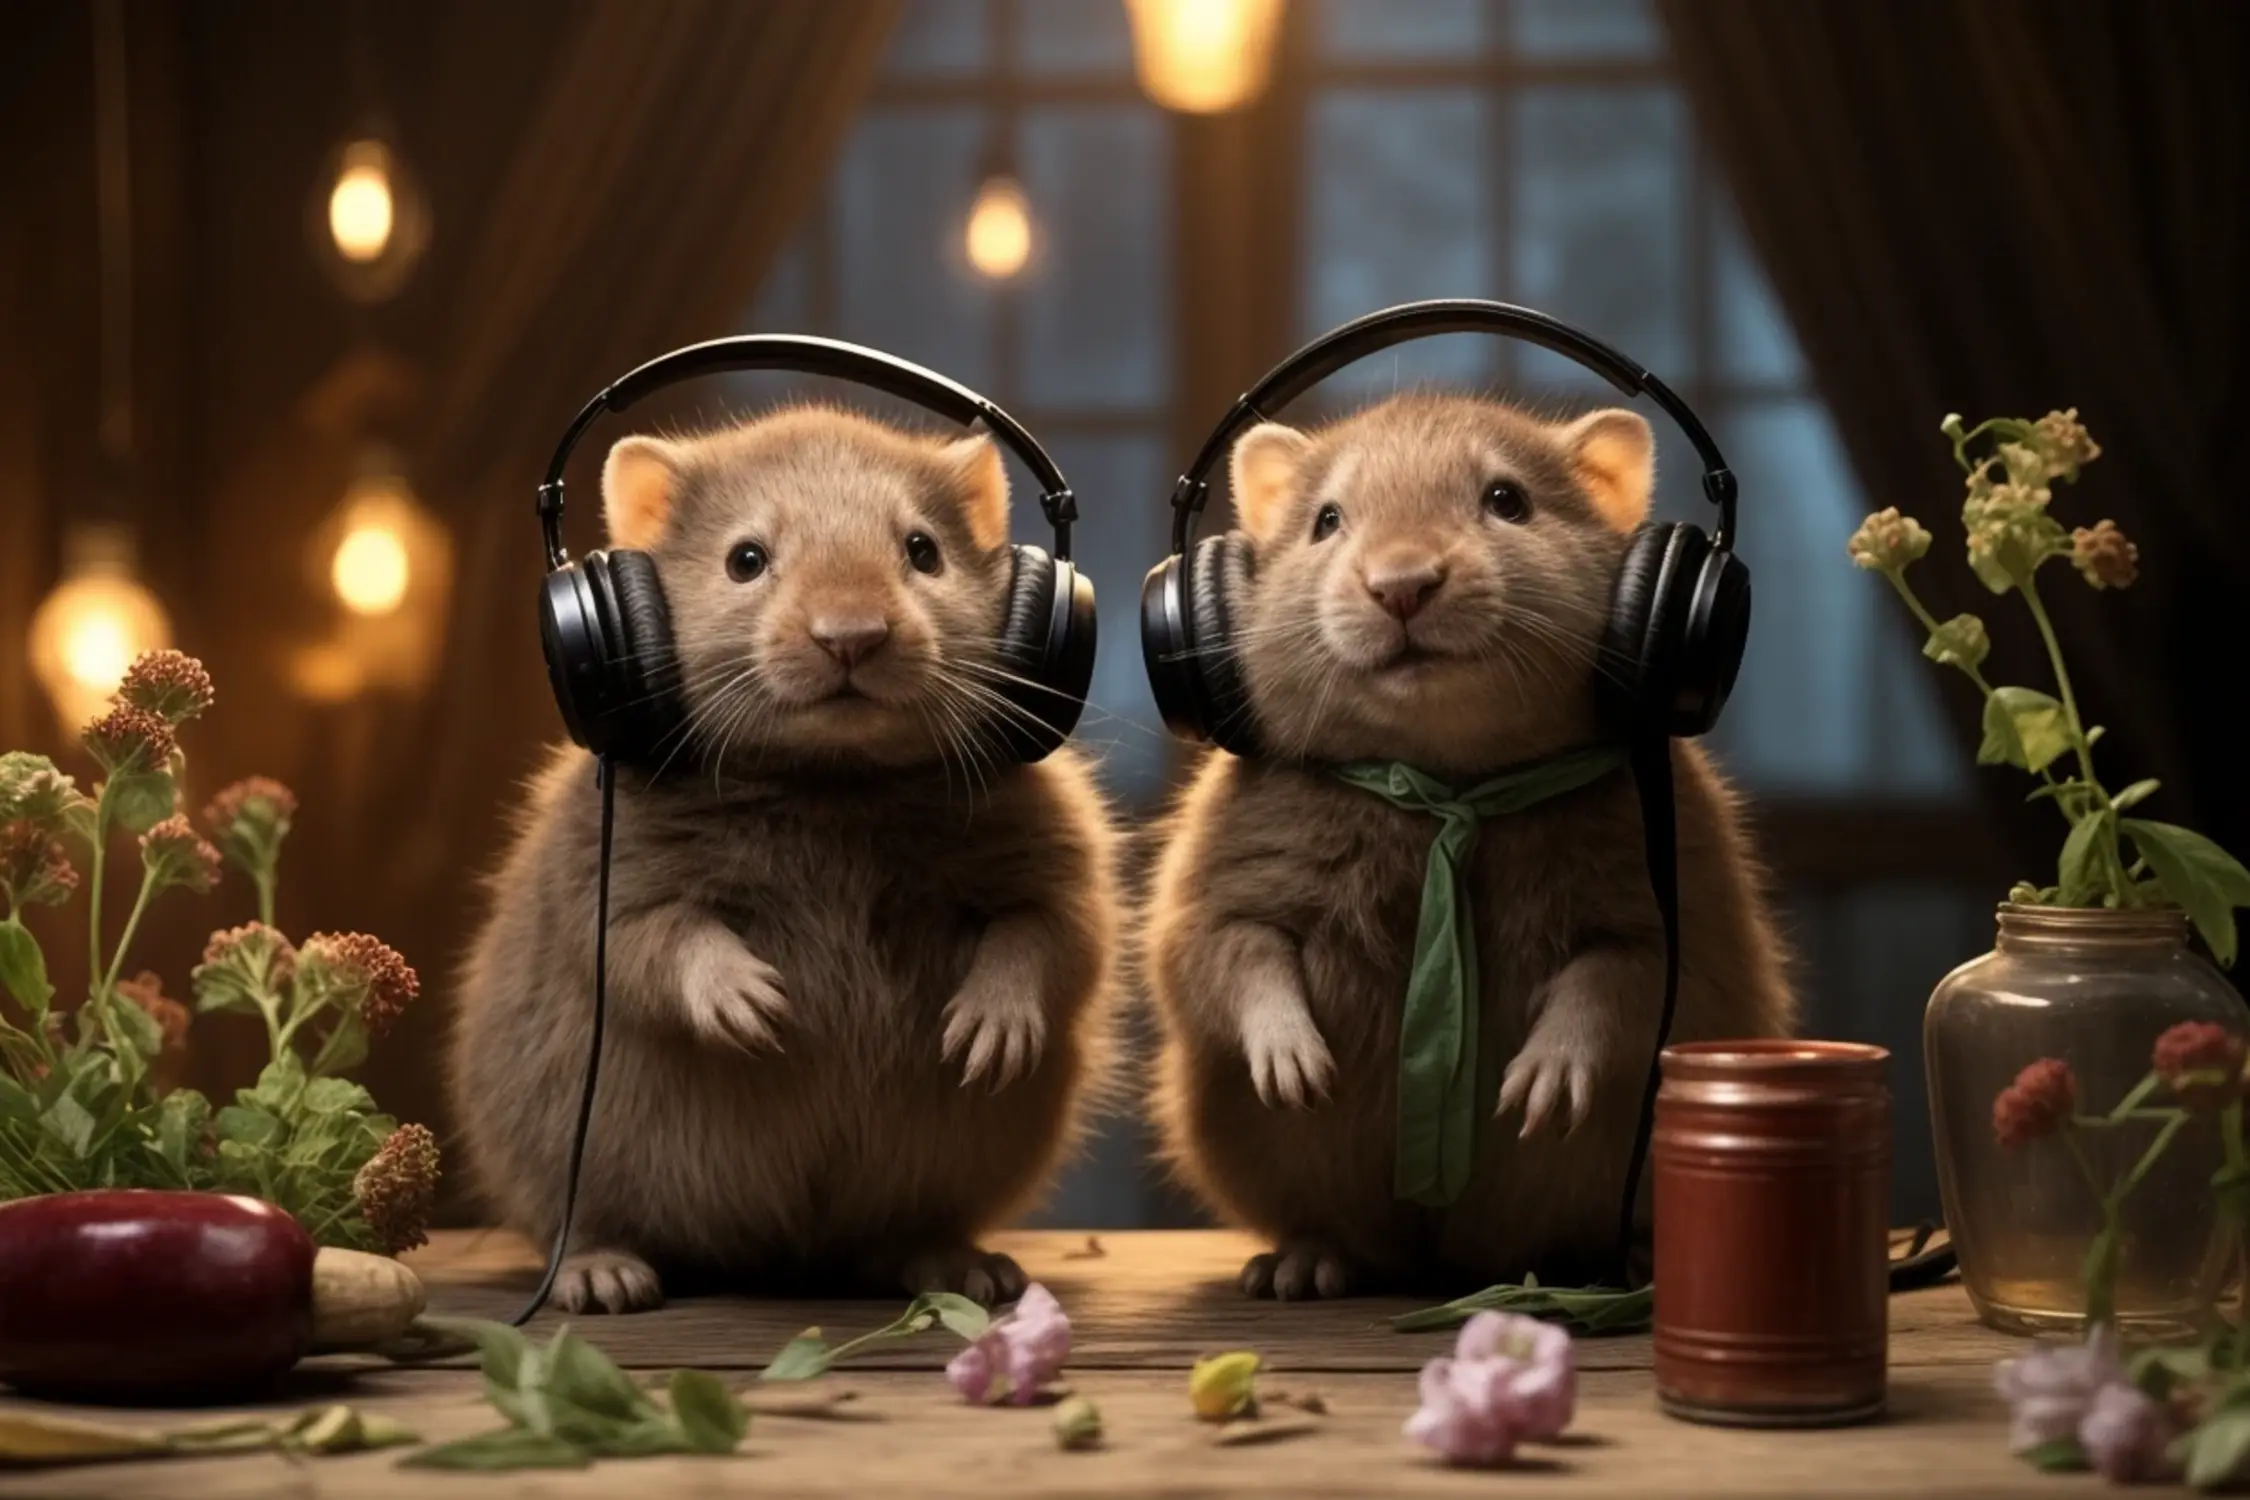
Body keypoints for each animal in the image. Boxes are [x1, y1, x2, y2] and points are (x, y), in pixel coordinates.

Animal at [451, 407, 1120, 1313]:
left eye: (923, 551)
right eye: (745, 560)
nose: (853, 638)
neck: (831, 778)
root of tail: (784, 1252)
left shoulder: (1057, 859)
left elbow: (1047, 935)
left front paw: (988, 1030)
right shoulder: (605, 877)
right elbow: (656, 940)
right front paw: (752, 1003)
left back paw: (959, 1266)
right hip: (555, 1153)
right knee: (579, 1219)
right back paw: (603, 1275)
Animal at [1143, 392, 1794, 1299]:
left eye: (1507, 501)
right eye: (1326, 521)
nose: (1402, 585)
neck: (1444, 779)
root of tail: (1447, 1262)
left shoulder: (1670, 910)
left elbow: (1617, 980)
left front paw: (1540, 1087)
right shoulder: (1219, 881)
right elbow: (1234, 958)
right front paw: (1296, 1067)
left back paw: (1622, 1259)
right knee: (1339, 1230)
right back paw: (1304, 1265)